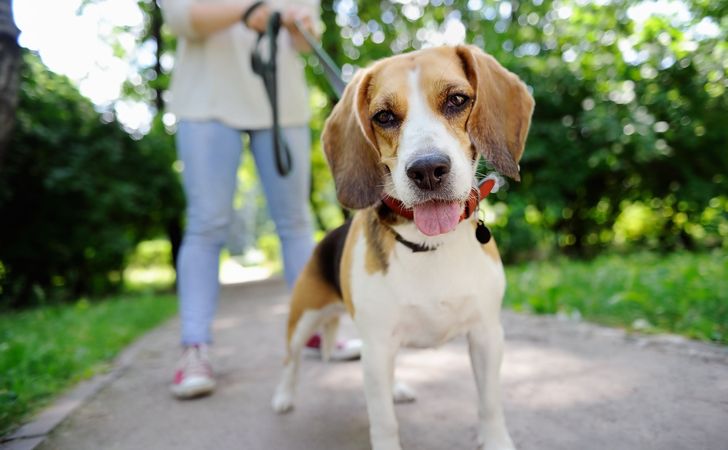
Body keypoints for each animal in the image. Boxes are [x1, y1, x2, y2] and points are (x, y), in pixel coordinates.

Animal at [272, 46, 536, 450]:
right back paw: (284, 397)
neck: (430, 244)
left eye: (457, 100)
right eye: (384, 116)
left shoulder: (487, 335)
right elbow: (383, 422)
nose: (427, 170)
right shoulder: (377, 343)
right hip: (305, 318)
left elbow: (490, 403)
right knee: (291, 360)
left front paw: (496, 441)